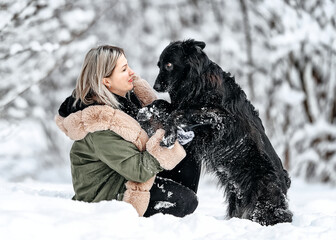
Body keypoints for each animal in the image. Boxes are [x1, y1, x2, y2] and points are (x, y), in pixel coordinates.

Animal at [138, 39, 292, 225]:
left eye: (168, 65)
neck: (198, 83)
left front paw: (168, 136)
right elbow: (162, 103)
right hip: (236, 196)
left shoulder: (221, 117)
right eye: (159, 65)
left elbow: (182, 113)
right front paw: (145, 111)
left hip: (262, 201)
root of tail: (285, 182)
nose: (156, 86)